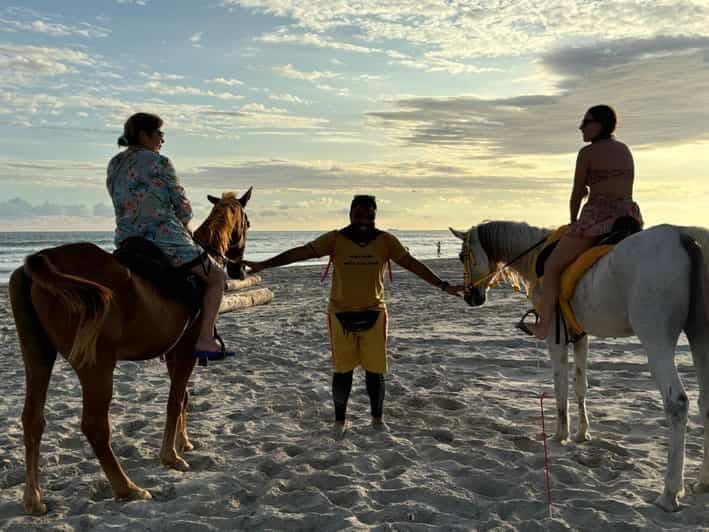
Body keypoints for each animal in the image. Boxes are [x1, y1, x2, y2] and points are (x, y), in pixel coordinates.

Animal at [8, 188, 252, 515]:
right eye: (247, 223)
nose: (238, 269)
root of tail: (42, 259)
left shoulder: (174, 353)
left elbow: (183, 398)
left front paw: (183, 443)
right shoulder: (186, 350)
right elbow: (175, 401)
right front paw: (171, 456)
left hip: (37, 355)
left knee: (32, 419)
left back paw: (33, 497)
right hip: (97, 366)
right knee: (95, 426)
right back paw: (127, 488)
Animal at [450, 221, 709, 511]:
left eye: (462, 256)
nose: (471, 297)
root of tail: (684, 237)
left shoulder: (555, 337)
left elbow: (560, 385)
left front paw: (560, 434)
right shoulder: (580, 337)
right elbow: (580, 385)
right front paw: (582, 433)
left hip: (656, 340)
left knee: (677, 404)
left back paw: (670, 492)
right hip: (701, 336)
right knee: (705, 403)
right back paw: (703, 482)